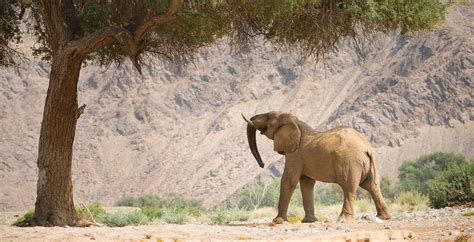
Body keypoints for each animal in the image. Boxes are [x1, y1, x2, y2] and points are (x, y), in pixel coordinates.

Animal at [243, 111, 390, 223]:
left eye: (268, 117)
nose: (262, 165)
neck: (295, 121)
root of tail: (367, 148)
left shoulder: (295, 154)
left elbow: (289, 180)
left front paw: (277, 221)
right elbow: (307, 183)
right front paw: (309, 221)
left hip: (350, 163)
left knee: (349, 188)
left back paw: (343, 219)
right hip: (365, 165)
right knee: (372, 186)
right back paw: (384, 217)